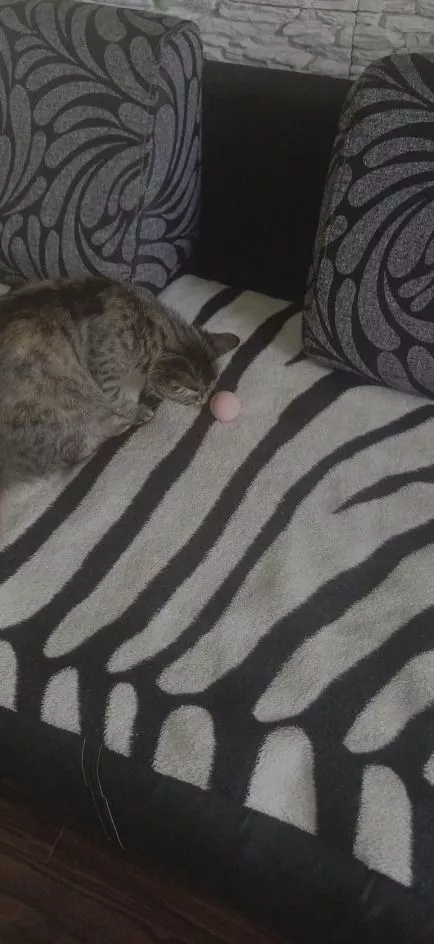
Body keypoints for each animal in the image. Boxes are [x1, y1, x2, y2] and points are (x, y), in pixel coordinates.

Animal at [0, 276, 239, 480]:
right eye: (194, 398)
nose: (202, 404)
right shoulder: (104, 371)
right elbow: (118, 398)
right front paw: (136, 411)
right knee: (81, 446)